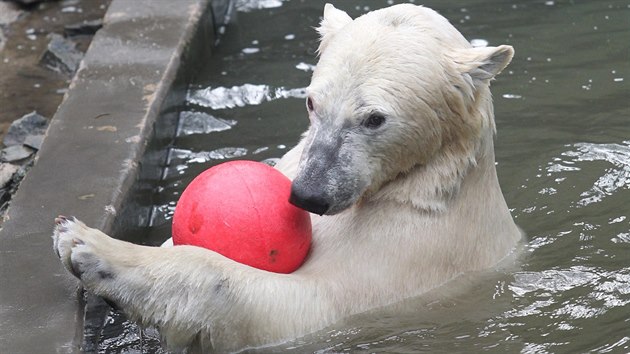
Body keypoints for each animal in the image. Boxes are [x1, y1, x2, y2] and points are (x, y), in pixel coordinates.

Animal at [54, 3, 520, 354]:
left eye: (374, 118)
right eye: (313, 101)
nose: (309, 194)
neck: (422, 185)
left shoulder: (412, 252)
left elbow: (299, 305)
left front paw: (88, 246)